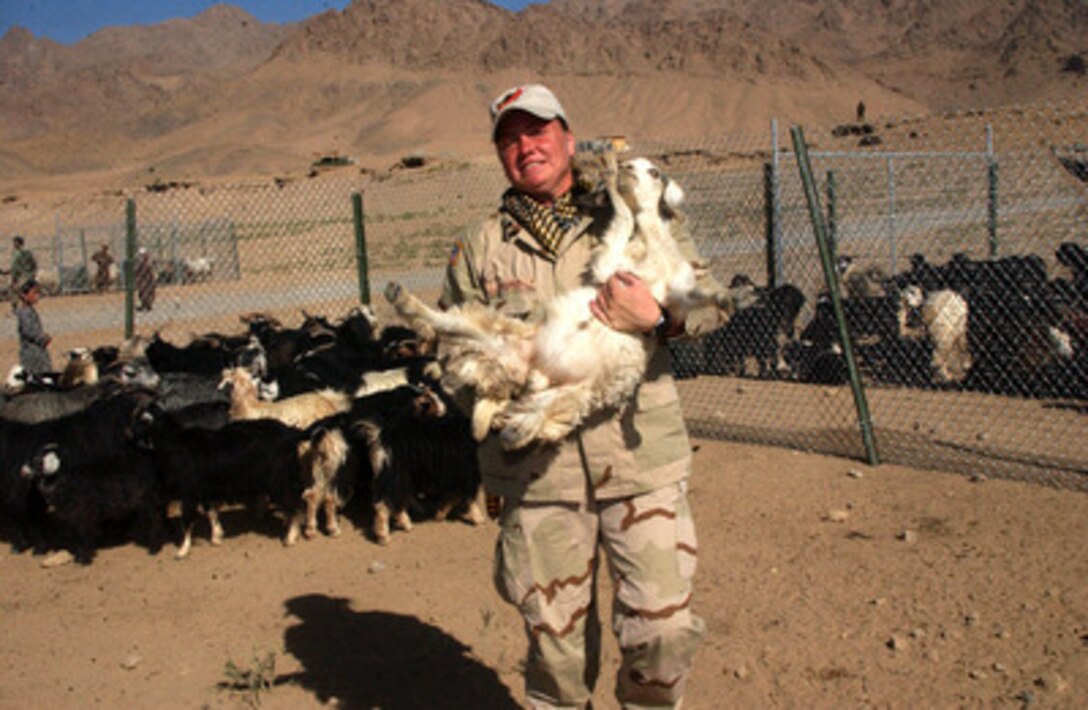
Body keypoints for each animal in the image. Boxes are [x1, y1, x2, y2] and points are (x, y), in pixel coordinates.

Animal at [387, 155, 726, 447]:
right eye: (630, 163)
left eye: (654, 172)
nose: (625, 169)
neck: (653, 248)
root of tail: (525, 371)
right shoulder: (610, 265)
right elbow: (624, 220)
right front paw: (610, 176)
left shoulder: (675, 291)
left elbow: (695, 297)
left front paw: (727, 298)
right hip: (492, 335)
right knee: (443, 319)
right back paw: (400, 296)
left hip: (571, 396)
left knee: (534, 420)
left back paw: (511, 428)